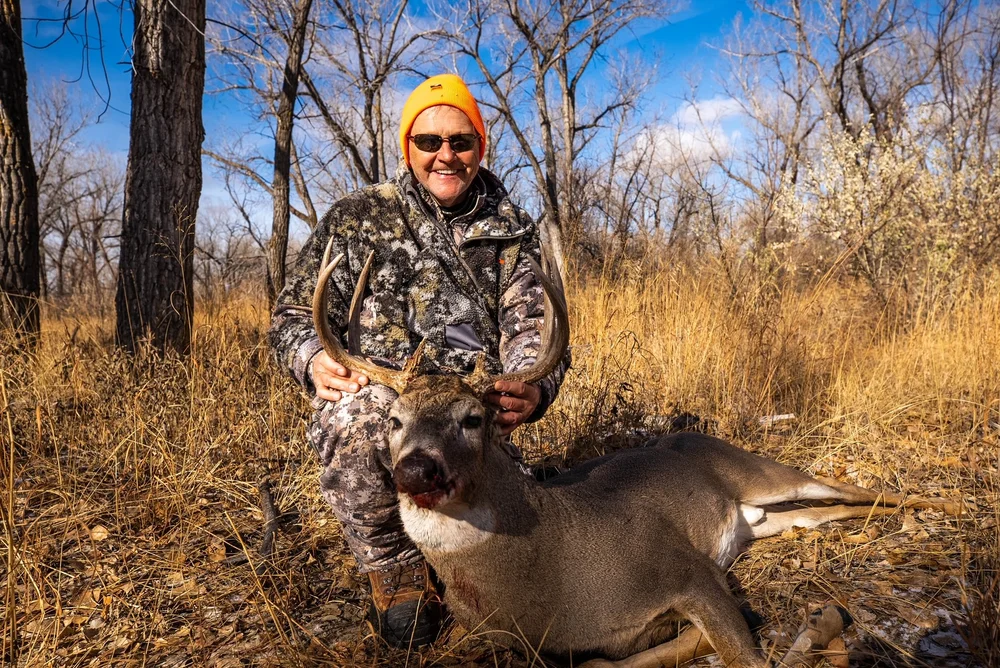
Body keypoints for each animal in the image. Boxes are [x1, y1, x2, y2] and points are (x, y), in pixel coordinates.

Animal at [312, 241, 962, 668]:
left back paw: (945, 506)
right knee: (823, 511)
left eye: (474, 419)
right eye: (393, 421)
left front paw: (823, 623)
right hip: (761, 518)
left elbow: (749, 658)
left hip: (755, 470)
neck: (548, 574)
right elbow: (611, 660)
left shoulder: (688, 571)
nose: (414, 468)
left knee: (848, 487)